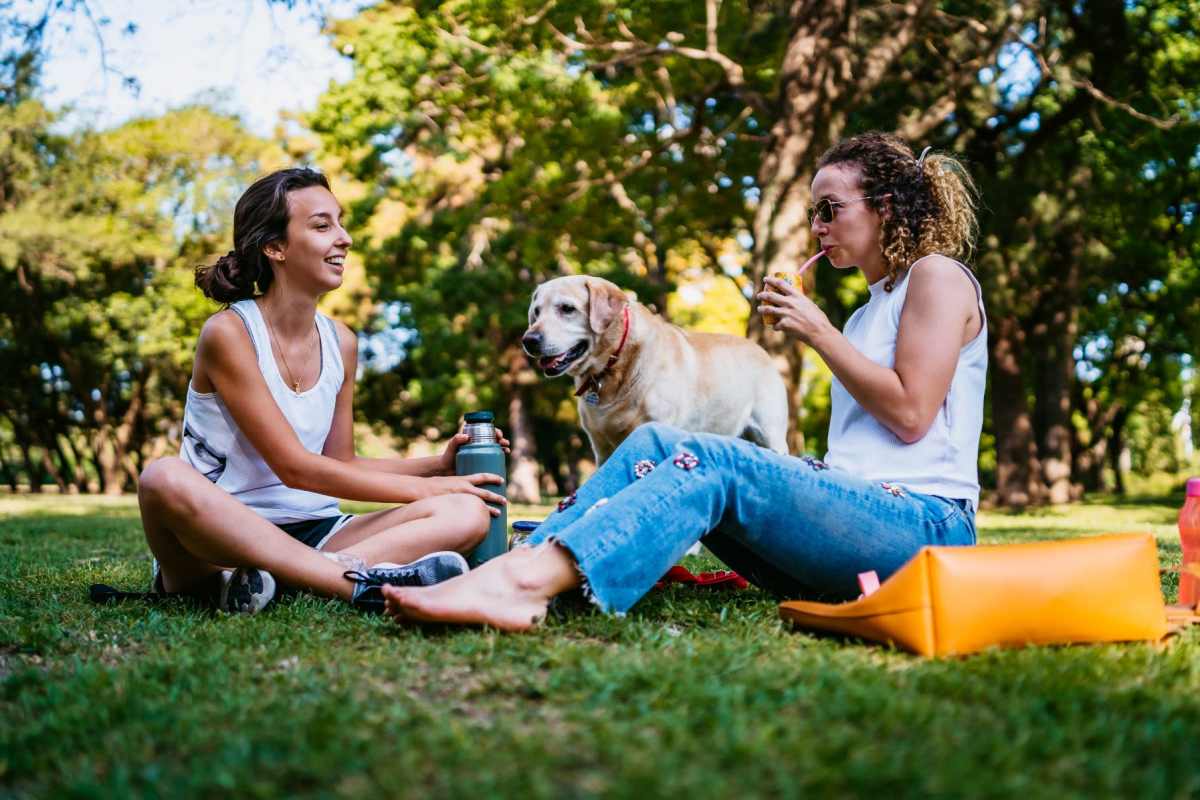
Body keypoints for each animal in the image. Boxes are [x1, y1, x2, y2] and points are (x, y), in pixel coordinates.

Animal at [523, 275, 787, 462]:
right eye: (536, 312)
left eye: (567, 308)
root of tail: (760, 349)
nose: (529, 340)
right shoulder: (601, 447)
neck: (614, 366)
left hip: (771, 434)